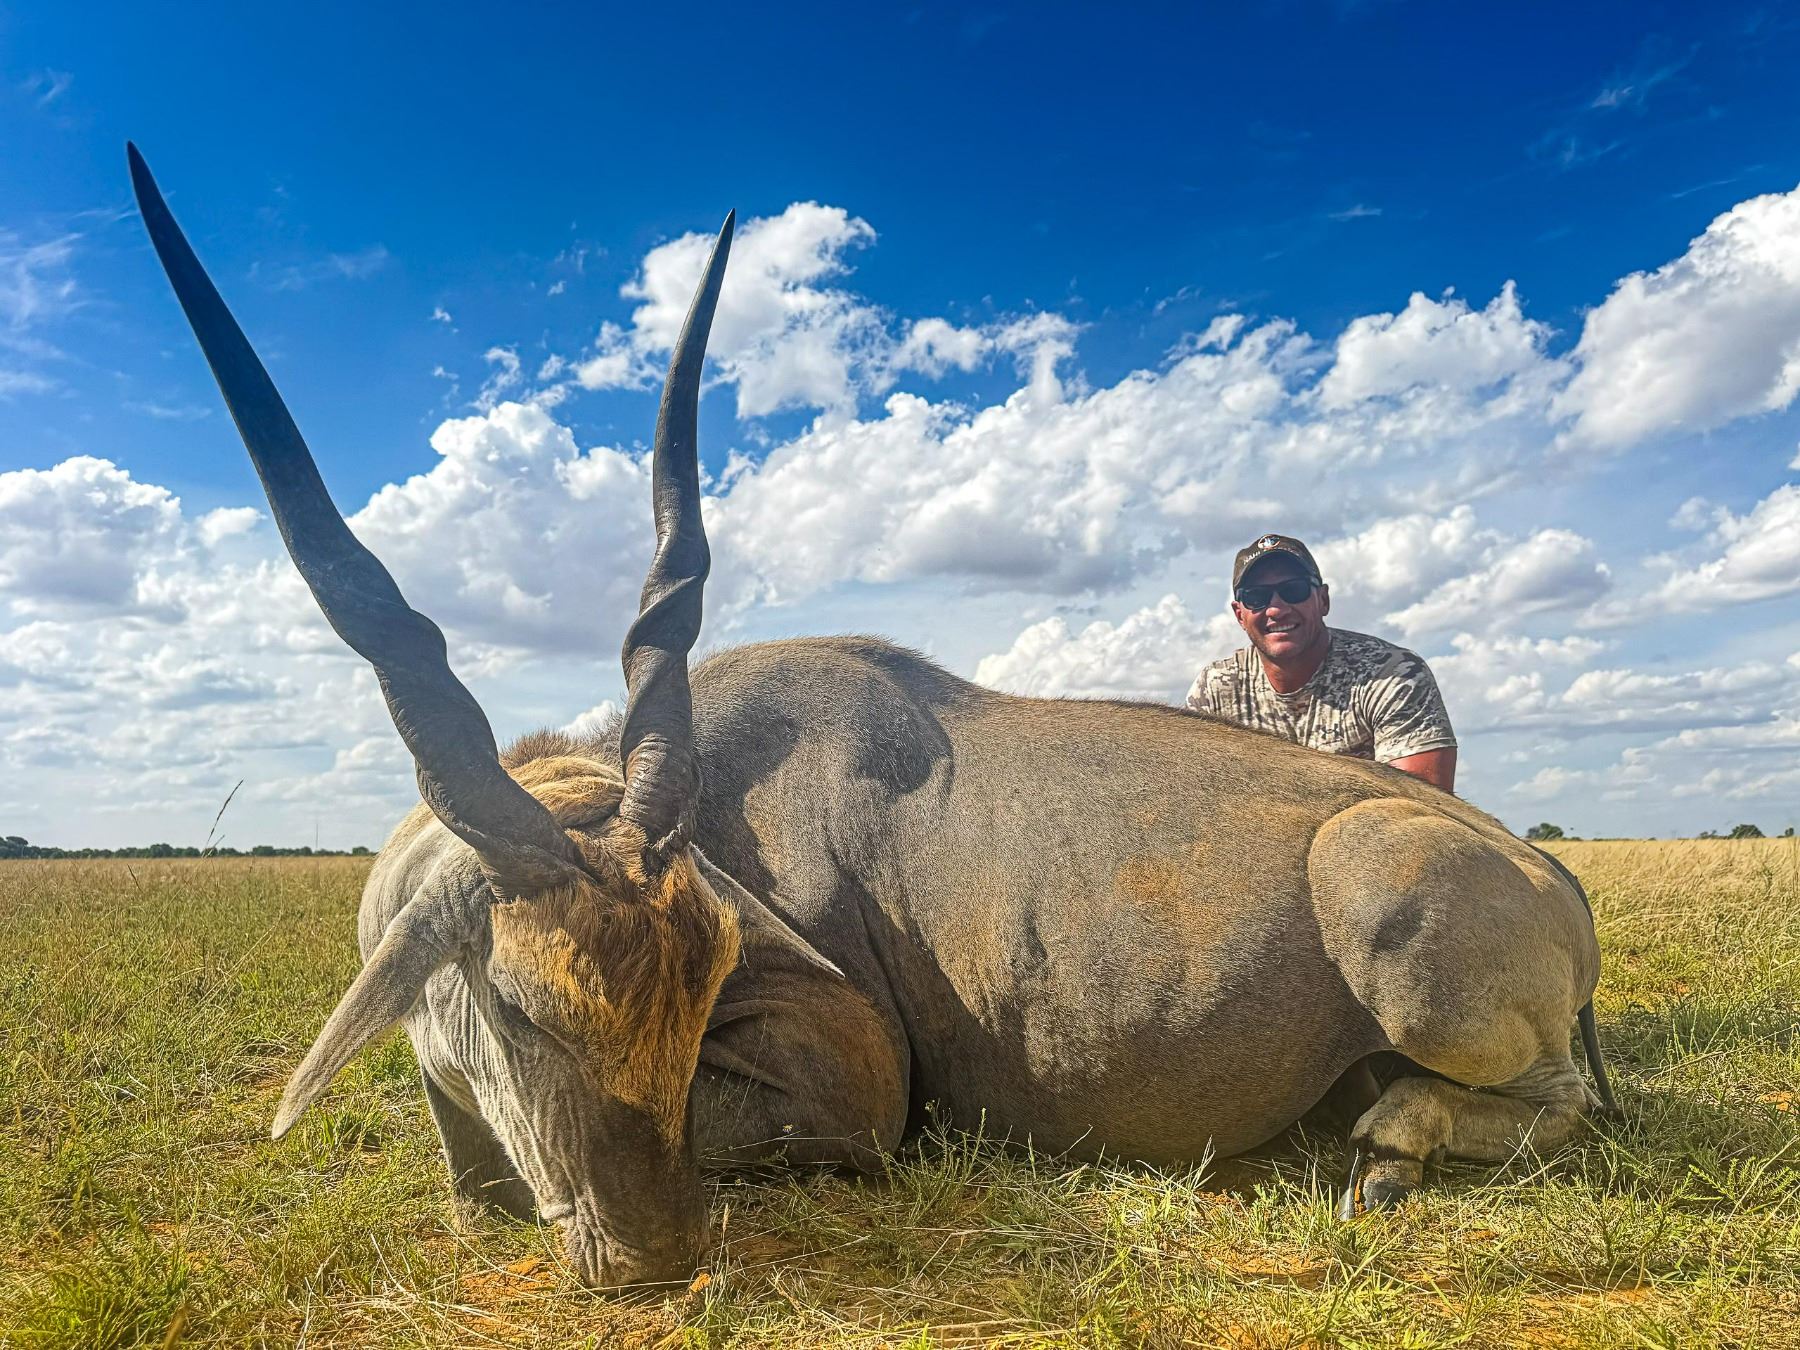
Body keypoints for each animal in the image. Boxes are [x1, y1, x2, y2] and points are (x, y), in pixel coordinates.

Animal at [130, 145, 1615, 1290]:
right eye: (513, 1005)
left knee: (1572, 1108)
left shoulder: (854, 1085)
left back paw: (1384, 1150)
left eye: (705, 986)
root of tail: (1552, 878)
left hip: (1391, 906)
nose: (652, 1254)